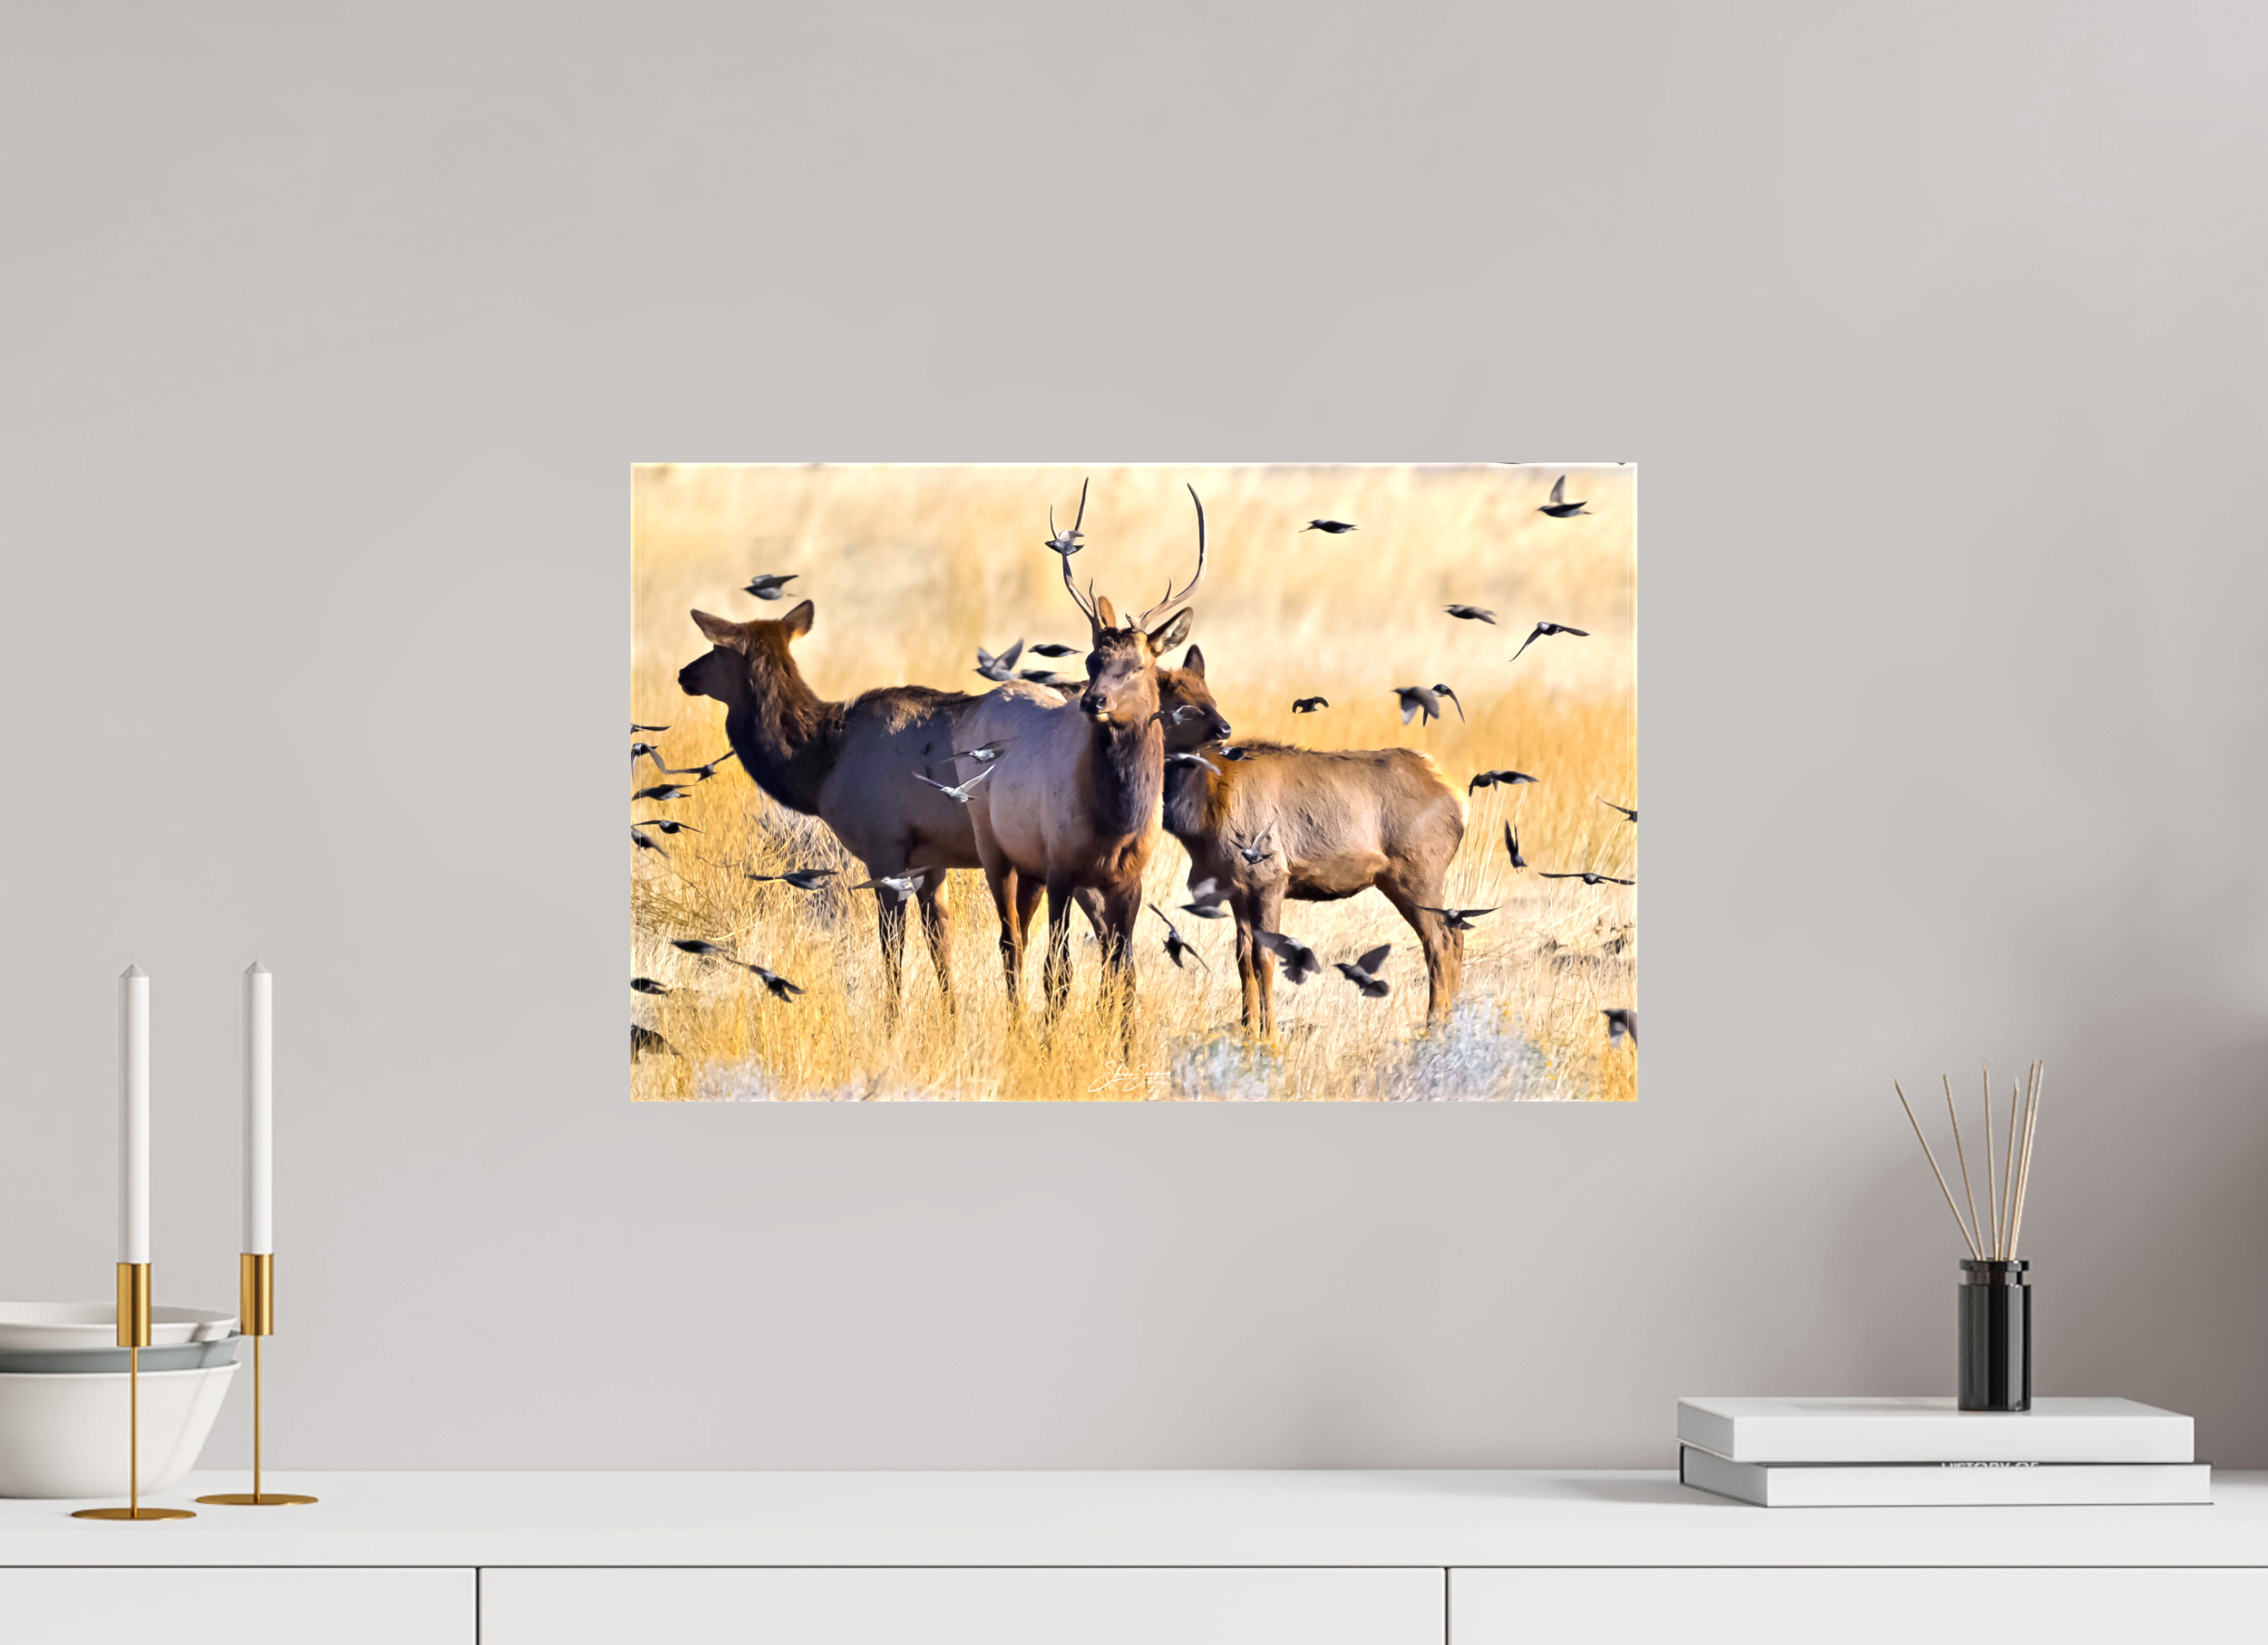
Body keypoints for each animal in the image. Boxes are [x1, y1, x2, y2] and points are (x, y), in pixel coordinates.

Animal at [957, 485, 1209, 1020]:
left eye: (1139, 666)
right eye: (1092, 659)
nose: (1093, 701)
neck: (1115, 821)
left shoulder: (1127, 880)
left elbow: (1124, 973)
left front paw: (1124, 1039)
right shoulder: (1061, 868)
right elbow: (1060, 973)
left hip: (1032, 869)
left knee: (1024, 939)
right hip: (994, 848)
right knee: (1010, 940)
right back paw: (1018, 1024)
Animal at [1149, 645, 1469, 1034]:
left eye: (1209, 698)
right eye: (1180, 702)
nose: (1223, 729)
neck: (1201, 818)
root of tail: (1456, 796)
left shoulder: (1269, 878)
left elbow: (1264, 957)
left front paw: (1270, 1035)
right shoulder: (1236, 889)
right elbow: (1243, 960)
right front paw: (1247, 1030)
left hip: (1417, 872)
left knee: (1440, 941)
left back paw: (1434, 1024)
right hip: (1401, 879)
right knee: (1455, 934)